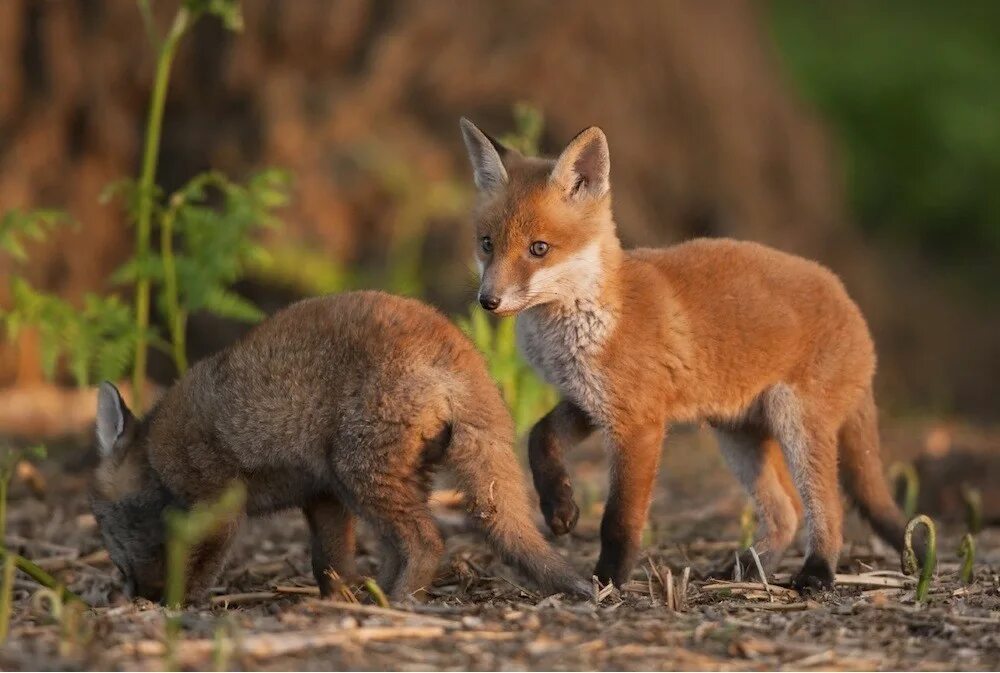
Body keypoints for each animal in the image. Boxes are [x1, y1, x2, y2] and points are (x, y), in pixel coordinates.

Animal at [460, 117, 920, 588]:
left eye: (539, 249)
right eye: (487, 244)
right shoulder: (590, 402)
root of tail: (848, 300)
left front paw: (607, 581)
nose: (488, 301)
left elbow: (620, 521)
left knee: (828, 508)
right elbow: (540, 437)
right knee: (787, 512)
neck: (593, 321)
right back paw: (745, 568)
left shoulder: (639, 423)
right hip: (739, 436)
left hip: (796, 423)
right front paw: (560, 508)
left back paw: (817, 572)